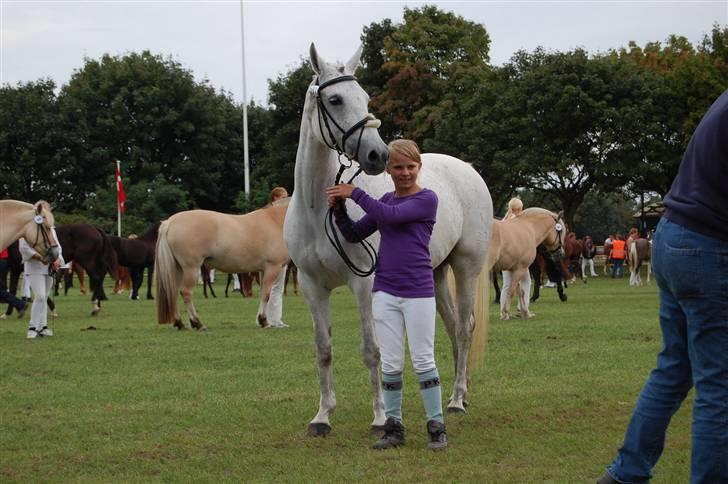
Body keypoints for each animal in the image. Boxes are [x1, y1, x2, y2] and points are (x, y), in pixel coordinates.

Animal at [156, 200, 290, 328]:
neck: (275, 221)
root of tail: (170, 222)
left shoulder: (263, 270)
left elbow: (262, 293)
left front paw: (261, 320)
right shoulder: (273, 267)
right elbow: (266, 295)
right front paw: (264, 321)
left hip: (177, 269)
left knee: (173, 292)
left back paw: (179, 323)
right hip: (191, 269)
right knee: (186, 292)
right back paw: (197, 323)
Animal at [282, 45, 492, 436]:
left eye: (365, 98)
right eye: (334, 99)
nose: (378, 155)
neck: (317, 209)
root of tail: (468, 170)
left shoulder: (363, 284)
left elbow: (371, 350)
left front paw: (381, 418)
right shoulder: (311, 286)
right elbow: (323, 349)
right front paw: (322, 416)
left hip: (466, 267)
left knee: (465, 327)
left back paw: (457, 399)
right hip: (435, 273)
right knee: (451, 325)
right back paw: (461, 392)